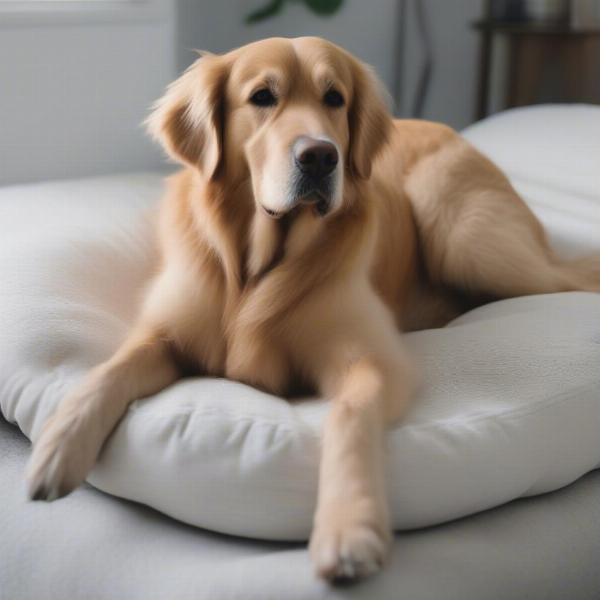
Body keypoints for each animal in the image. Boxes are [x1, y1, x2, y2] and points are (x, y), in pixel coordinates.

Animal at [27, 37, 600, 580]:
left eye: (335, 99)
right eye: (263, 97)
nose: (321, 157)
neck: (257, 265)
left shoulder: (373, 359)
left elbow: (348, 418)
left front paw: (348, 531)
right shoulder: (163, 333)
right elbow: (108, 372)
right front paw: (57, 447)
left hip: (470, 241)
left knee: (573, 276)